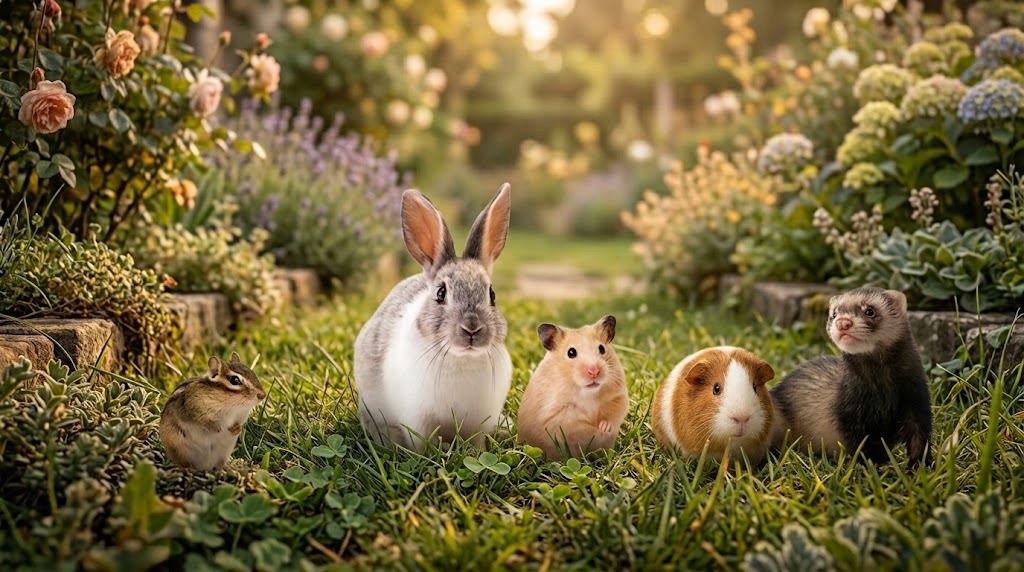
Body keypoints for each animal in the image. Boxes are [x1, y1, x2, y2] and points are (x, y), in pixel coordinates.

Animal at [354, 184, 514, 451]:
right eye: (441, 293)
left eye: (492, 295)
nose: (472, 328)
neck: (462, 358)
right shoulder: (418, 420)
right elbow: (422, 443)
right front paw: (428, 454)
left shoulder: (480, 422)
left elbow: (477, 443)